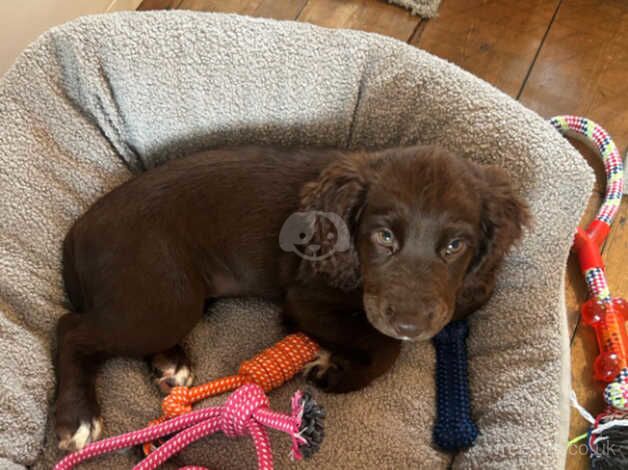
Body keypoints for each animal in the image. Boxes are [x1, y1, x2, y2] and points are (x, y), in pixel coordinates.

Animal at [54, 145, 528, 450]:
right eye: (384, 237)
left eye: (455, 246)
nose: (411, 324)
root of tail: (78, 230)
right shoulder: (305, 300)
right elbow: (384, 346)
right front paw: (334, 371)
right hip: (171, 296)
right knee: (72, 328)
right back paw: (77, 417)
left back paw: (171, 364)